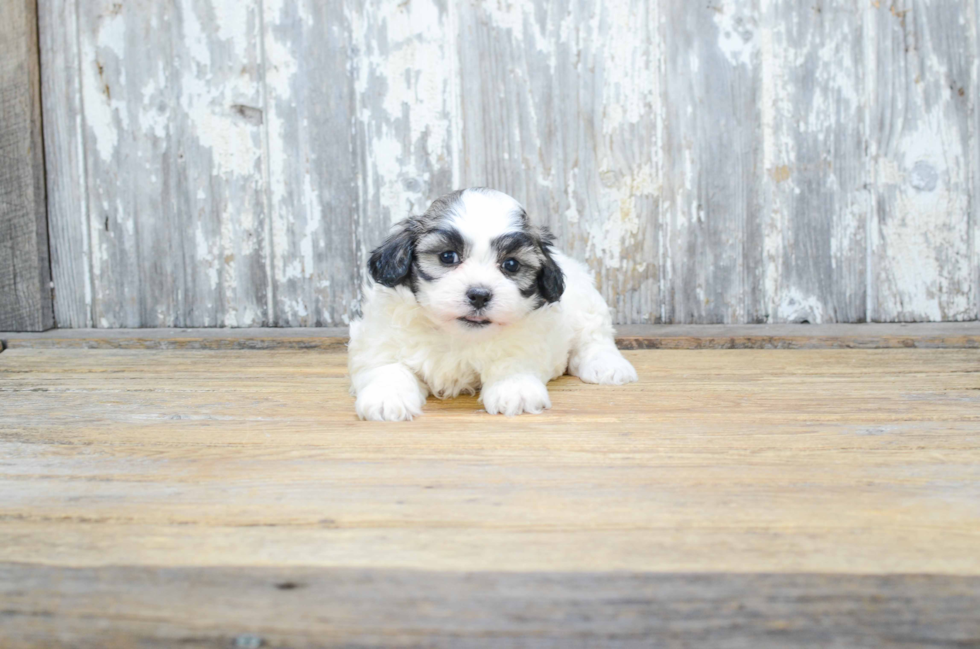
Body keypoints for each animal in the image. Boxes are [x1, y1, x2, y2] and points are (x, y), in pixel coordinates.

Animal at [348, 187, 640, 420]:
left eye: (511, 264)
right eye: (447, 257)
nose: (479, 294)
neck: (457, 335)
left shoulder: (527, 340)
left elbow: (512, 361)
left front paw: (515, 389)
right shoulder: (380, 341)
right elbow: (387, 367)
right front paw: (387, 398)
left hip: (587, 305)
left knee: (593, 338)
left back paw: (607, 365)